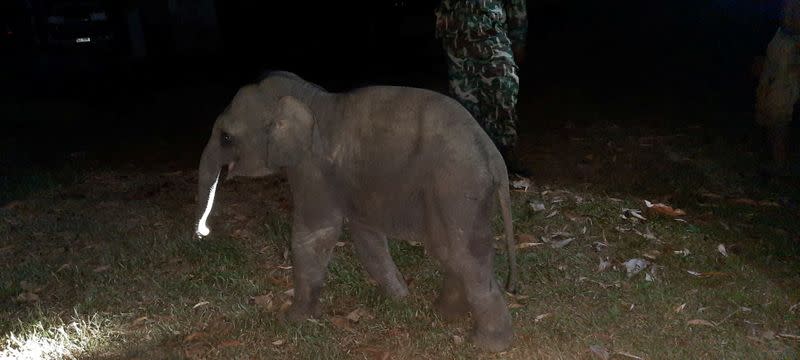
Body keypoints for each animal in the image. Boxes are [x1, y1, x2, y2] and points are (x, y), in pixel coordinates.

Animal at [195, 71, 520, 352]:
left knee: (462, 254)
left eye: (226, 137)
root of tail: (495, 158)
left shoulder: (313, 170)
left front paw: (292, 320)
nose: (203, 232)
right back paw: (444, 313)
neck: (309, 97)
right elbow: (366, 237)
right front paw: (400, 300)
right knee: (450, 249)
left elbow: (315, 235)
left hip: (457, 187)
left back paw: (488, 344)